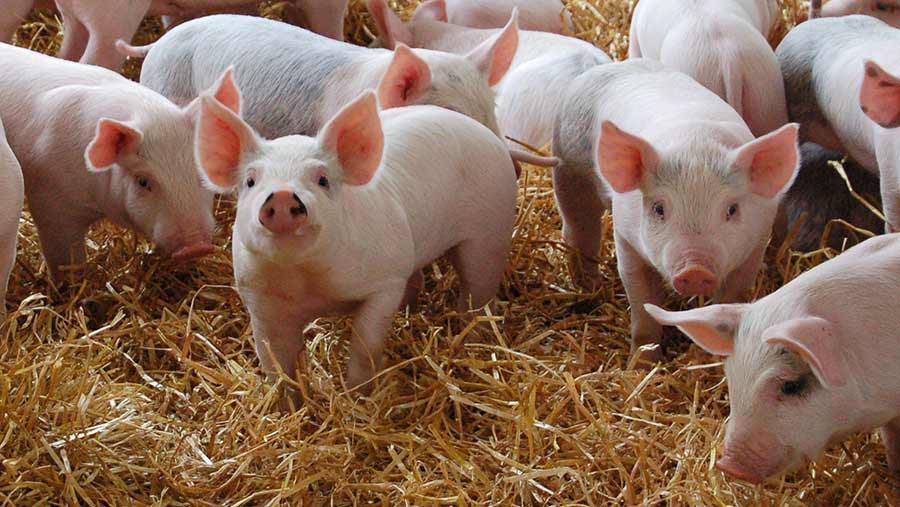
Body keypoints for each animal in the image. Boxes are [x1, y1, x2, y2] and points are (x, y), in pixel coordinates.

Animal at [193, 88, 517, 392]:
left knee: (477, 297)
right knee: (418, 280)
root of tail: (484, 133)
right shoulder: (259, 299)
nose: (283, 195)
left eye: (323, 179)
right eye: (250, 181)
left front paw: (357, 396)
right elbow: (276, 364)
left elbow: (365, 347)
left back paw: (472, 341)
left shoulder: (385, 281)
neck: (307, 283)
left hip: (491, 233)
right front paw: (289, 405)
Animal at [552, 59, 799, 363]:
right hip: (569, 167)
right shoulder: (626, 237)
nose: (695, 268)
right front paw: (641, 364)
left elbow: (731, 294)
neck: (696, 145)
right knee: (579, 227)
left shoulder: (754, 245)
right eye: (659, 208)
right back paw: (588, 286)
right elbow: (642, 304)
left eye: (731, 209)